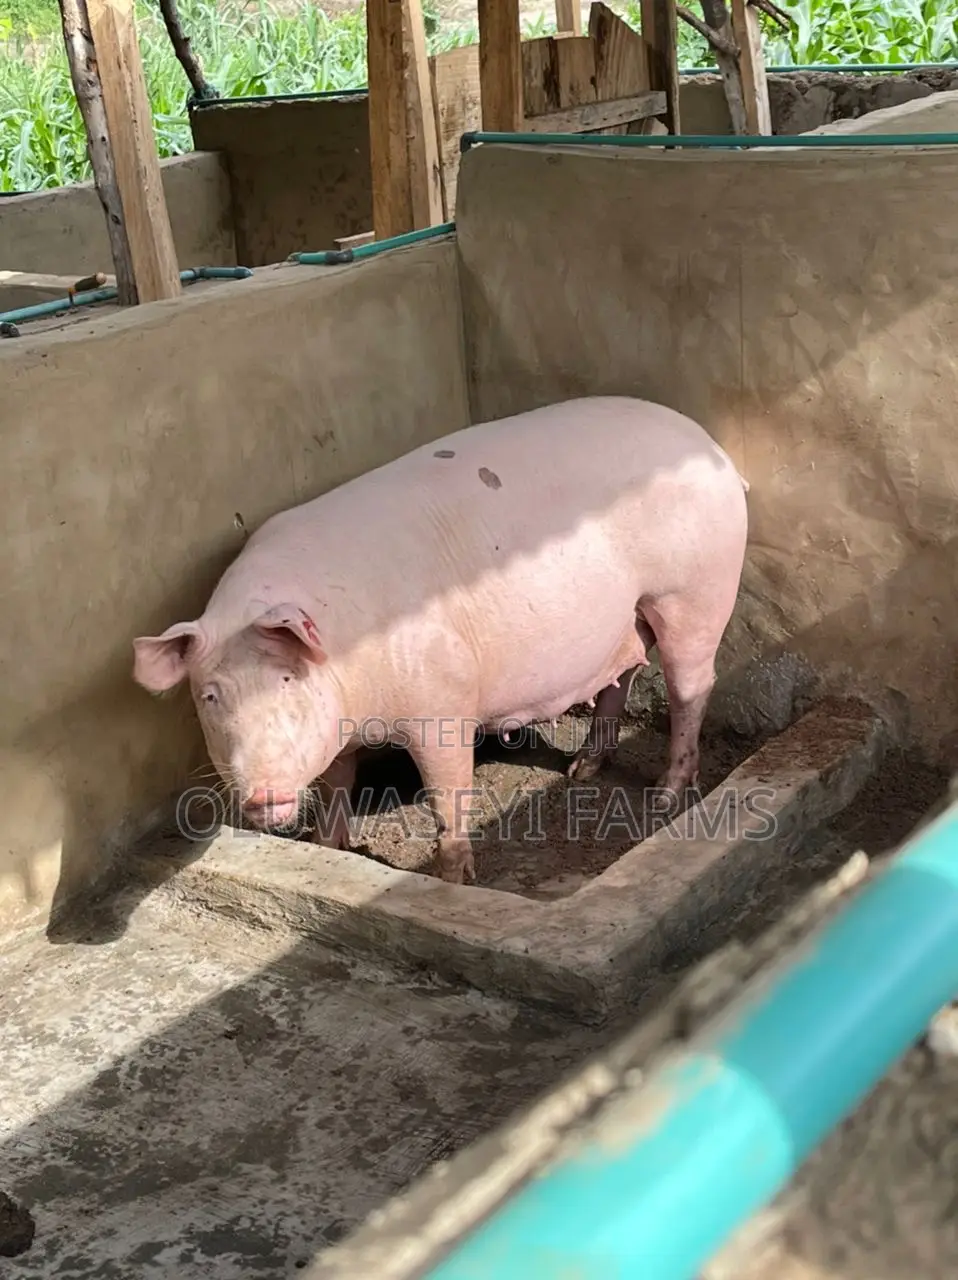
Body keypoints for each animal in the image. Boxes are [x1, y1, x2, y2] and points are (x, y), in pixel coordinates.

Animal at [132, 395, 748, 885]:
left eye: (287, 680)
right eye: (211, 695)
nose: (264, 795)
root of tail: (714, 450)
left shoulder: (444, 697)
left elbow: (447, 793)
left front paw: (452, 878)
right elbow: (335, 785)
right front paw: (327, 848)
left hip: (694, 589)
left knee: (691, 683)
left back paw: (665, 797)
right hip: (630, 612)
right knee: (621, 674)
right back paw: (583, 770)